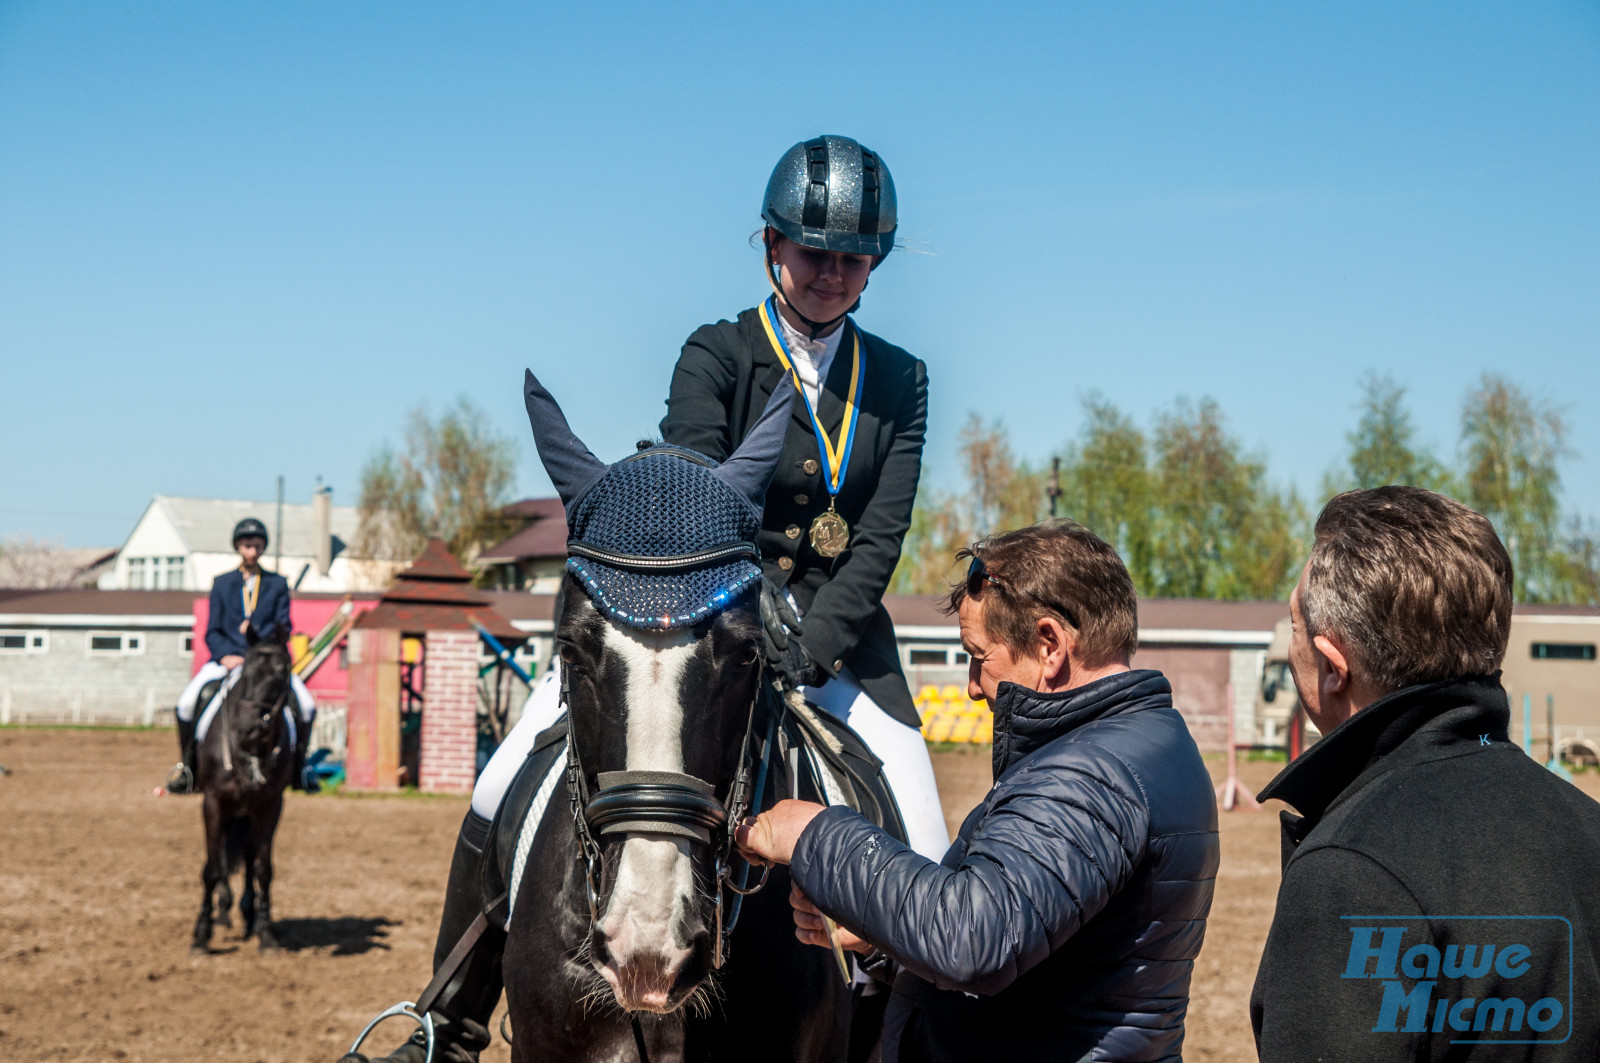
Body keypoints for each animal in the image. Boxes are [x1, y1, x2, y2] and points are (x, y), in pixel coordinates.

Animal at [190, 627, 297, 947]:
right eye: (245, 672)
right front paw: (202, 933)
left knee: (248, 858)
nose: (246, 728)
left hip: (249, 813)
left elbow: (263, 869)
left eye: (282, 671)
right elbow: (213, 867)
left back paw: (248, 916)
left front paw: (266, 933)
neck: (251, 749)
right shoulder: (213, 802)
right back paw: (224, 911)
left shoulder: (270, 805)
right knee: (224, 856)